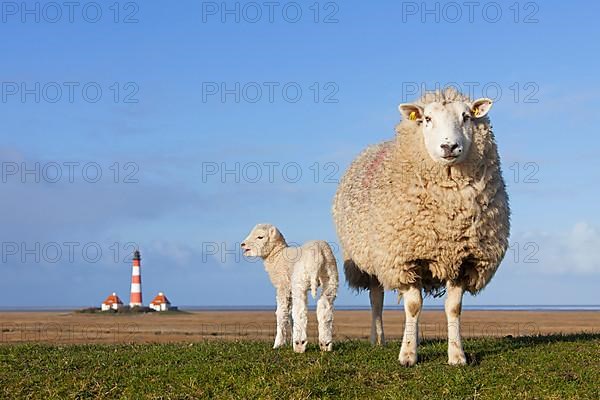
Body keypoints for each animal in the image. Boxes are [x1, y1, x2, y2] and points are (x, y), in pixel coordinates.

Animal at [241, 225, 340, 354]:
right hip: (331, 277)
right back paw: (325, 344)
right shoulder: (289, 288)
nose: (242, 245)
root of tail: (319, 253)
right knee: (325, 308)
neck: (277, 256)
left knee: (300, 311)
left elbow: (282, 313)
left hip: (300, 280)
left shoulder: (283, 286)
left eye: (260, 237)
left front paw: (278, 344)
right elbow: (289, 314)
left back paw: (299, 344)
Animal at [332, 87, 510, 366]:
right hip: (371, 260)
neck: (449, 213)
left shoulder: (462, 259)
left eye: (467, 116)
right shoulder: (405, 258)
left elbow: (453, 308)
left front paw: (456, 355)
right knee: (376, 299)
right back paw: (377, 339)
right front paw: (407, 355)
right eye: (427, 119)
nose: (449, 146)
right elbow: (413, 306)